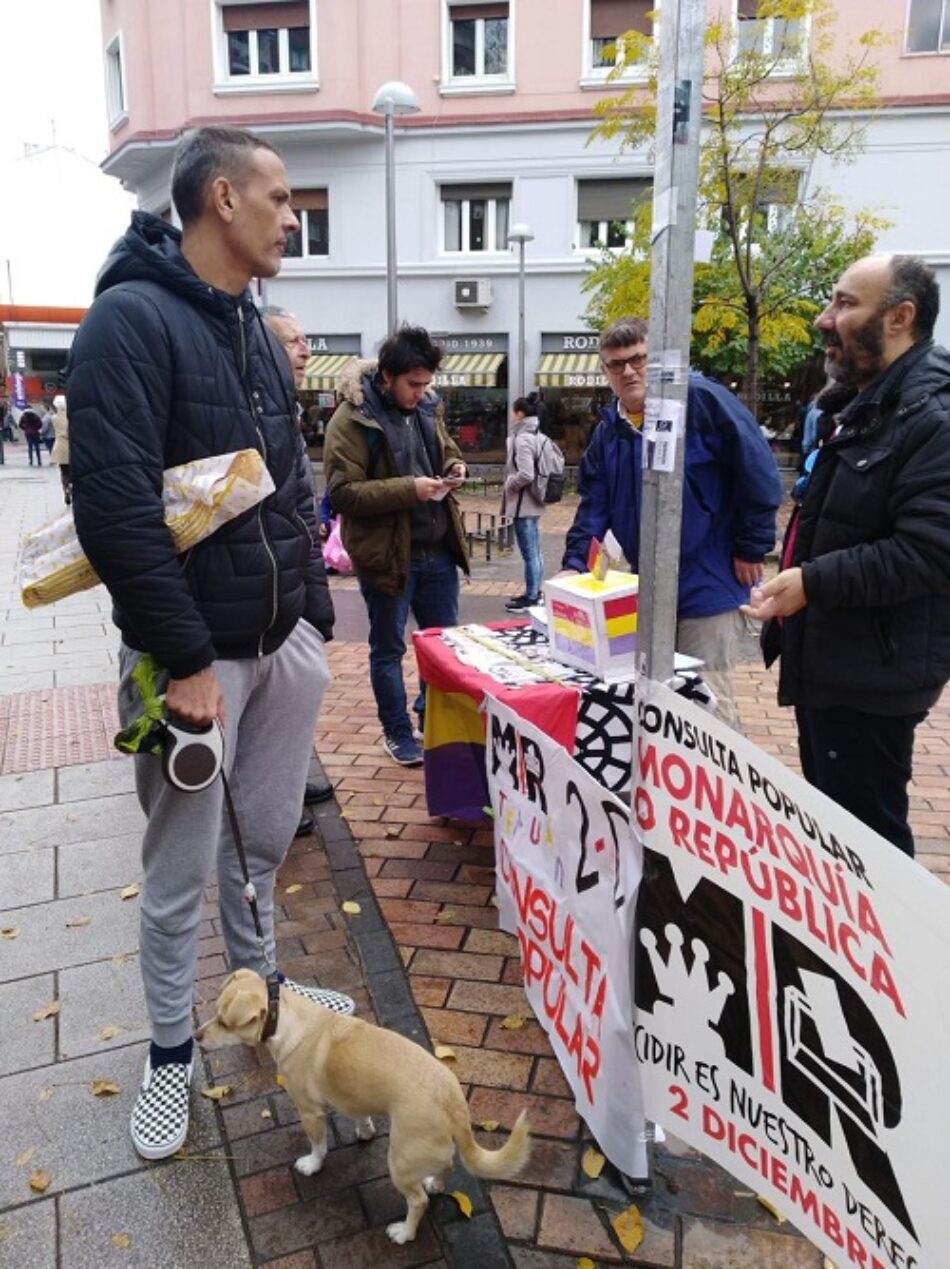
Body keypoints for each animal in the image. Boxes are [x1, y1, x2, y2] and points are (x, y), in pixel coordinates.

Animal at [197, 969, 530, 1238]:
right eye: (215, 1013)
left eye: (224, 1023)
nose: (196, 1036)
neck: (287, 1020)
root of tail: (453, 1105)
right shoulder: (353, 1099)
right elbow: (361, 1117)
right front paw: (365, 1132)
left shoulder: (309, 1112)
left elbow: (318, 1145)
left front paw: (312, 1165)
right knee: (445, 1166)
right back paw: (435, 1183)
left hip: (400, 1162)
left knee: (417, 1202)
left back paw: (404, 1233)